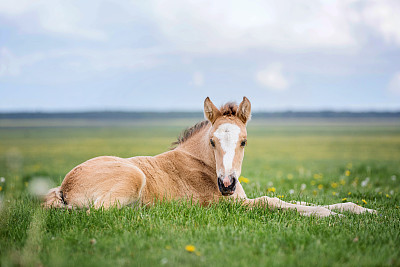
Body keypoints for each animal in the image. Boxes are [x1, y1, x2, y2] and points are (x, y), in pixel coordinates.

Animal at [45, 97, 376, 217]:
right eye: (212, 141)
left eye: (244, 141)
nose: (227, 184)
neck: (202, 165)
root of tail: (63, 187)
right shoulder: (232, 205)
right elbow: (274, 202)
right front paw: (331, 218)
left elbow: (299, 200)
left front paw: (363, 210)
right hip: (132, 177)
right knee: (101, 211)